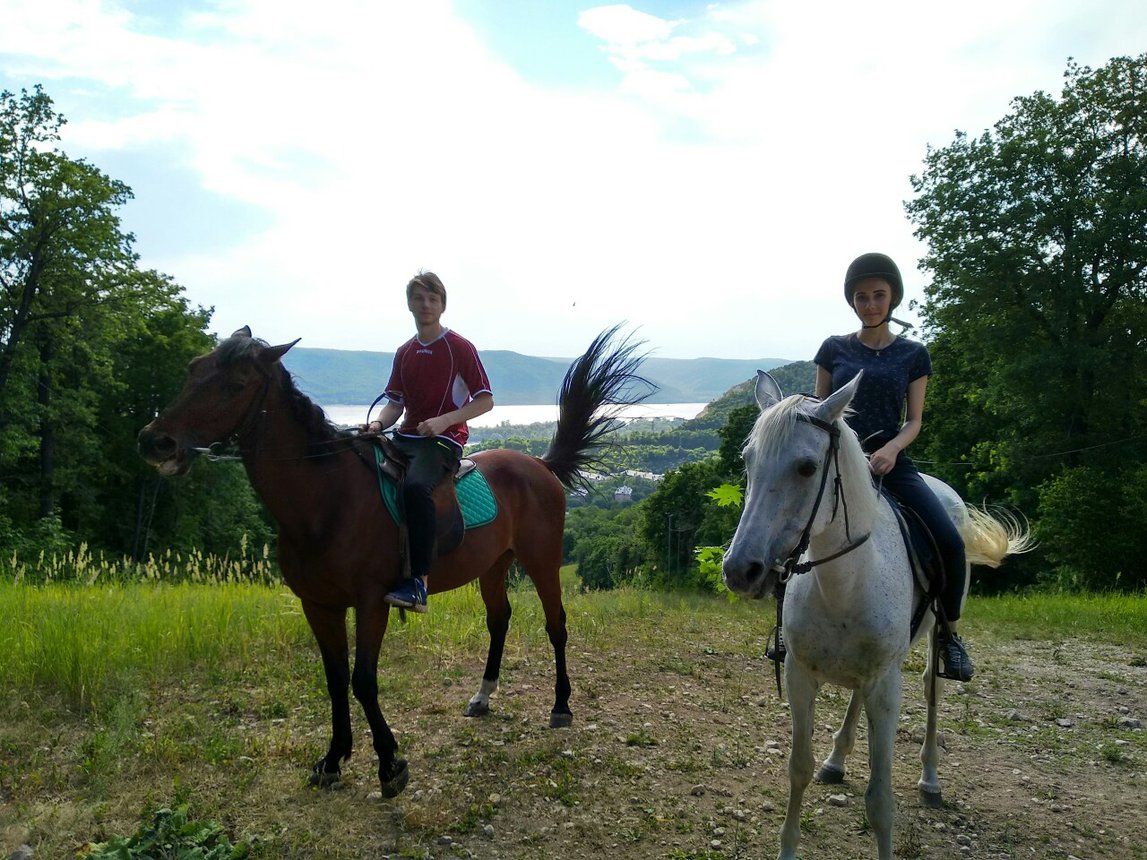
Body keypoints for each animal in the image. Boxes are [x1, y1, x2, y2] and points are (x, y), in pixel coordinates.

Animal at [138, 325, 651, 802]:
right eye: (193, 368)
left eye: (235, 384)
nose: (154, 441)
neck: (327, 499)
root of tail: (540, 465)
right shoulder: (318, 606)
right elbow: (334, 679)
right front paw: (333, 759)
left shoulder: (373, 602)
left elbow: (363, 680)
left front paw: (389, 763)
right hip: (493, 565)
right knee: (499, 619)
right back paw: (483, 694)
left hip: (542, 560)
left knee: (555, 624)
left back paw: (561, 705)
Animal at [724, 371, 1032, 860]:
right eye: (748, 460)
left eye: (807, 467)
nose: (741, 570)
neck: (844, 583)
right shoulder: (799, 675)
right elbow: (798, 769)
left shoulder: (887, 688)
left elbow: (880, 798)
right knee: (856, 697)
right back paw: (837, 759)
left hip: (931, 640)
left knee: (931, 689)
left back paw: (930, 779)